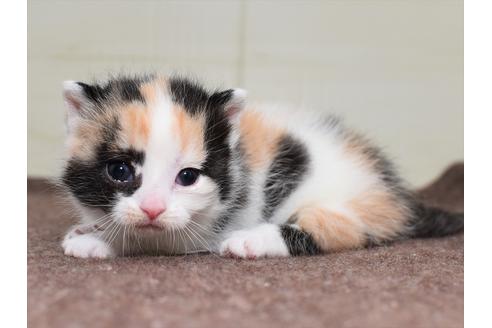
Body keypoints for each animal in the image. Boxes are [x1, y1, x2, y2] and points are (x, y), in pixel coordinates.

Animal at [59, 75, 464, 258]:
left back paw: (251, 240)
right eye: (120, 171)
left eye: (187, 177)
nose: (153, 208)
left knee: (331, 229)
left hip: (351, 207)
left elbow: (154, 240)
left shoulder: (196, 230)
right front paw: (90, 229)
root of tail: (392, 191)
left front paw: (97, 242)